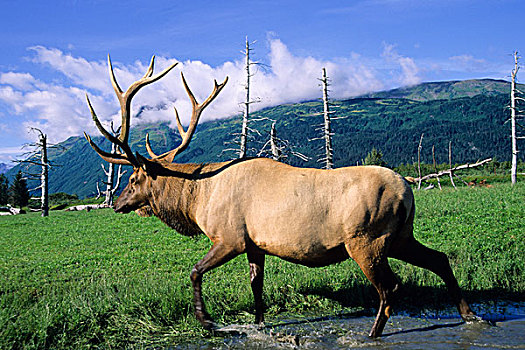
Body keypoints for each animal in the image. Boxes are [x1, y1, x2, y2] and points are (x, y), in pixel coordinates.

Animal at [84, 55, 476, 340]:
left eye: (134, 178)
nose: (116, 204)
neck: (197, 200)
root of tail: (408, 189)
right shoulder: (255, 243)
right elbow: (256, 286)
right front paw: (259, 323)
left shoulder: (229, 238)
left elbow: (195, 272)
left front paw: (207, 321)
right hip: (401, 236)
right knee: (439, 259)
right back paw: (470, 314)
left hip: (367, 240)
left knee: (389, 286)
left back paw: (374, 333)